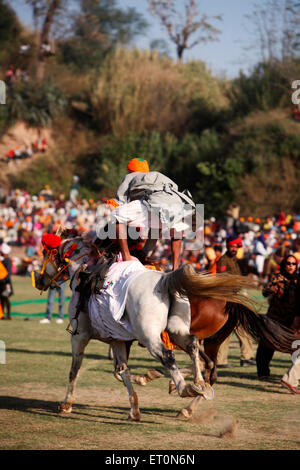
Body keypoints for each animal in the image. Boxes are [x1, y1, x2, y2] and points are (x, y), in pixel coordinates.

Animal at [34, 233, 255, 420]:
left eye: (45, 253)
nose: (39, 280)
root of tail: (165, 281)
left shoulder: (79, 337)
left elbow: (75, 369)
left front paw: (67, 403)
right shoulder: (117, 339)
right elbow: (122, 371)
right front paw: (134, 407)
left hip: (152, 337)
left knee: (172, 357)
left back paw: (183, 389)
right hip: (183, 333)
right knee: (198, 355)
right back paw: (196, 387)